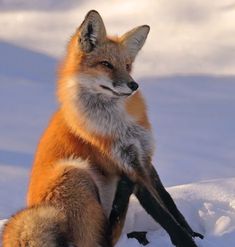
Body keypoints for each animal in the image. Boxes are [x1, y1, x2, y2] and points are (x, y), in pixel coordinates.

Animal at [1, 10, 203, 247]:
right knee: (101, 240)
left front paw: (193, 233)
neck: (119, 124)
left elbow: (170, 204)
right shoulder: (128, 166)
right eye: (106, 64)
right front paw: (186, 241)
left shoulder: (144, 158)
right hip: (74, 171)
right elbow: (162, 214)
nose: (134, 85)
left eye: (127, 66)